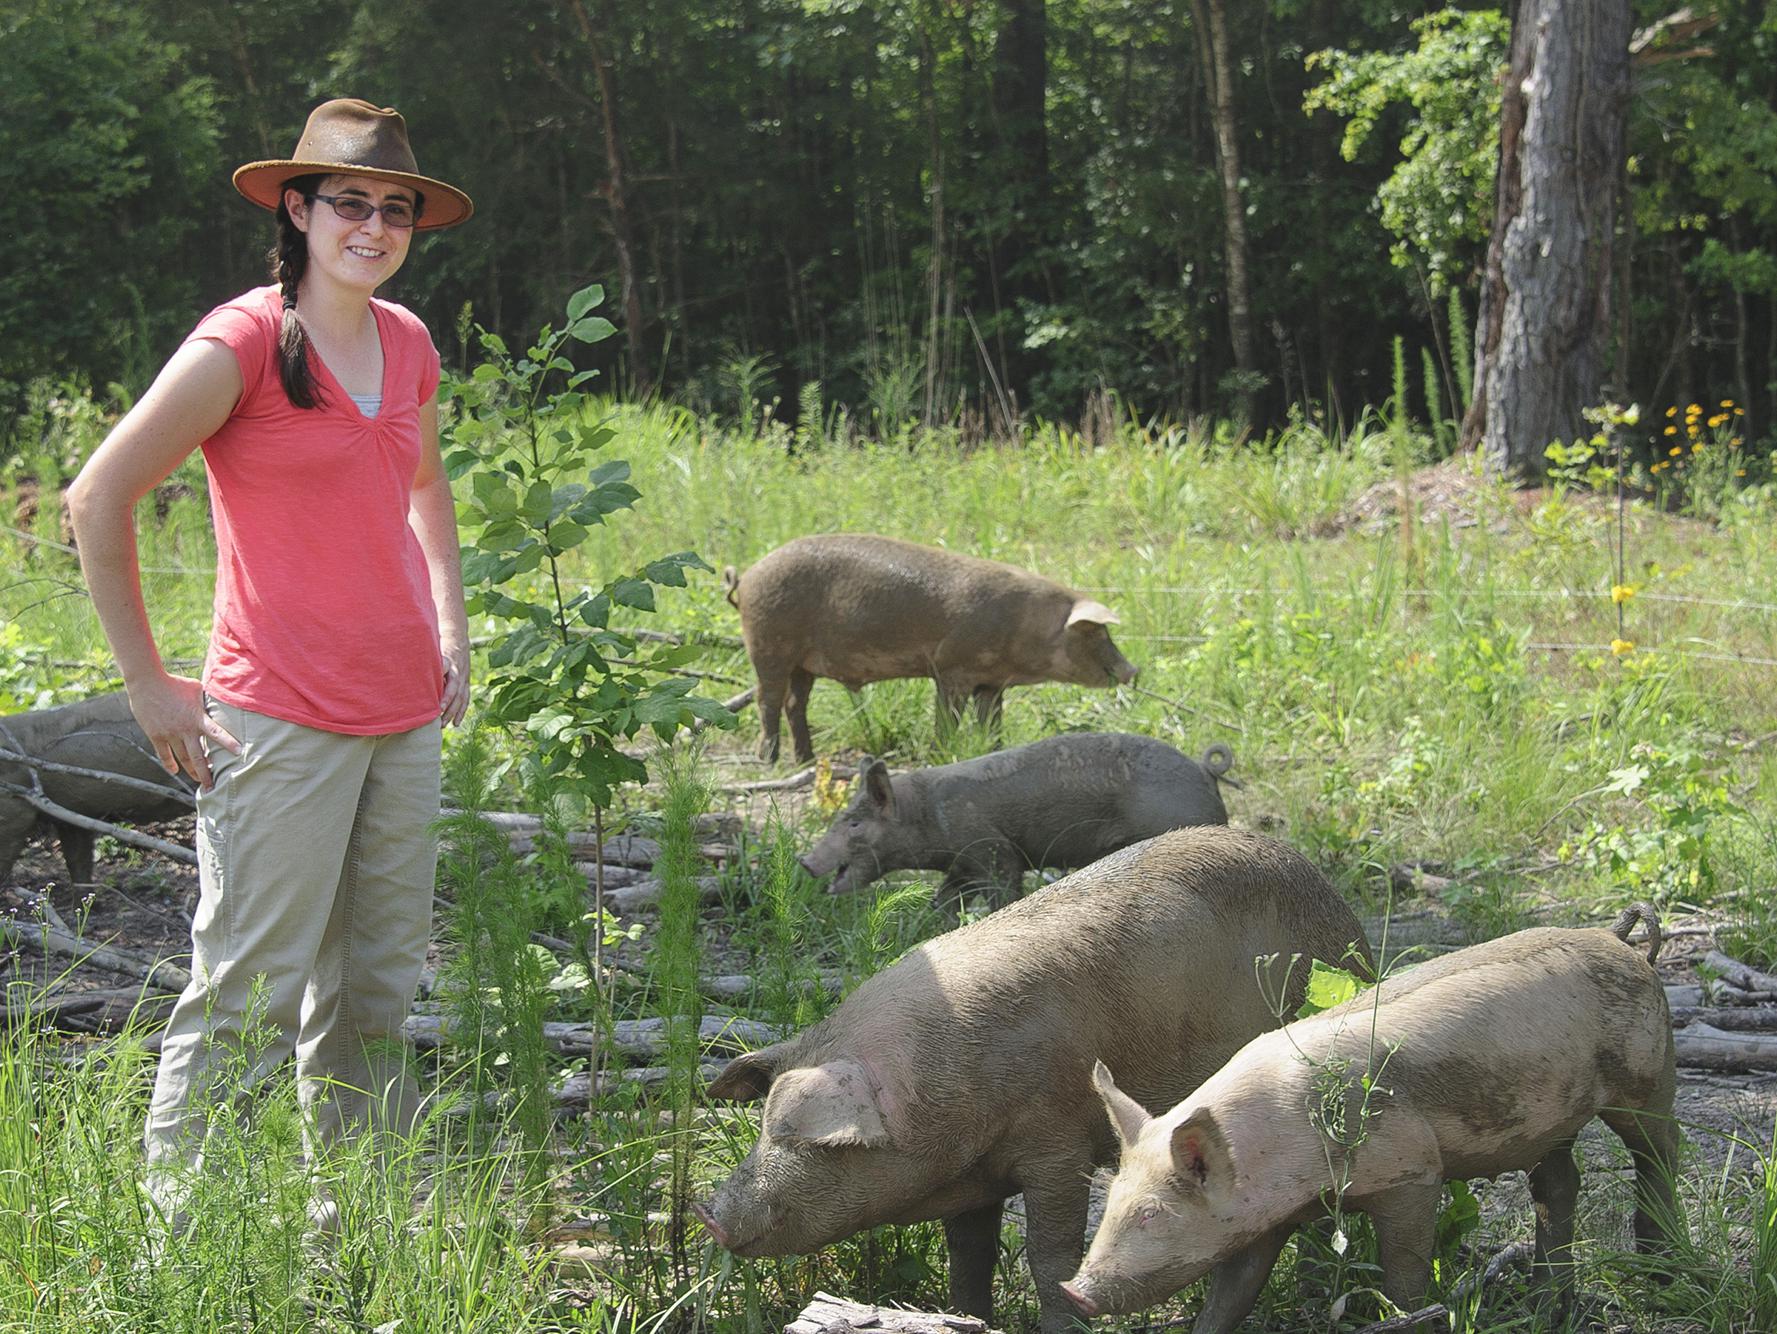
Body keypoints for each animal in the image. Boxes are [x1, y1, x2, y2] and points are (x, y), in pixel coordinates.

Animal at [685, 831, 1364, 1328]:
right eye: (763, 1125)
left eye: (808, 1139)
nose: (710, 1211)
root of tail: (1338, 903)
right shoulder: (972, 1179)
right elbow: (969, 1257)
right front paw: (967, 1318)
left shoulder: (1057, 1141)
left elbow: (1050, 1257)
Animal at [725, 532, 1130, 760]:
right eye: (1095, 633)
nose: (1133, 669)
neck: (1027, 627)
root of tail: (748, 576)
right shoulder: (951, 669)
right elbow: (948, 720)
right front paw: (941, 754)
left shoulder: (992, 682)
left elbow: (991, 722)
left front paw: (994, 751)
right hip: (768, 642)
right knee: (768, 700)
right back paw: (769, 760)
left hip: (802, 662)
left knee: (796, 703)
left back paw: (806, 759)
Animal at [806, 735, 1236, 916]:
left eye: (854, 823)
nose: (803, 860)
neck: (925, 816)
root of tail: (1206, 771)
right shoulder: (961, 866)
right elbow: (944, 900)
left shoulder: (993, 851)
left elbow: (1004, 891)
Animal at [1059, 902, 1684, 1328]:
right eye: (1109, 1204)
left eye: (1151, 1215)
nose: (1074, 1289)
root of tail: (1619, 939)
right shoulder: (1262, 1217)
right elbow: (1232, 1292)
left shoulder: (1411, 1171)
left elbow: (1404, 1272)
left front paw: (1406, 1314)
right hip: (1549, 1121)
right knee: (1559, 1184)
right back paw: (1546, 1304)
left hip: (1649, 1071)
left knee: (1660, 1148)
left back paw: (1661, 1270)